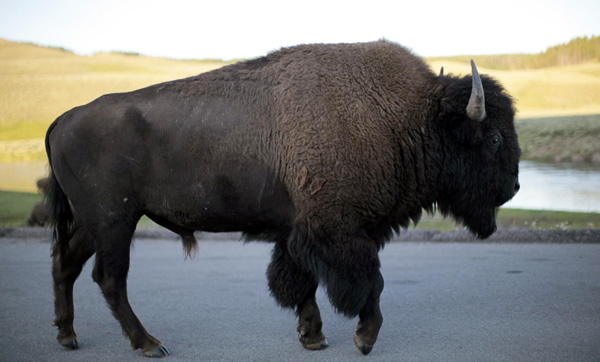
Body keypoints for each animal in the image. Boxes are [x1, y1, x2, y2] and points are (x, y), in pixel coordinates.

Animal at [44, 39, 516, 356]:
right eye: (493, 138)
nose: (513, 189)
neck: (405, 119)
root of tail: (61, 121)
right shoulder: (338, 232)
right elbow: (370, 283)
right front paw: (363, 338)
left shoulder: (297, 234)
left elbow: (299, 282)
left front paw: (313, 337)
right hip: (115, 222)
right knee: (109, 279)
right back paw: (149, 343)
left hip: (91, 223)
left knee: (66, 265)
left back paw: (68, 336)